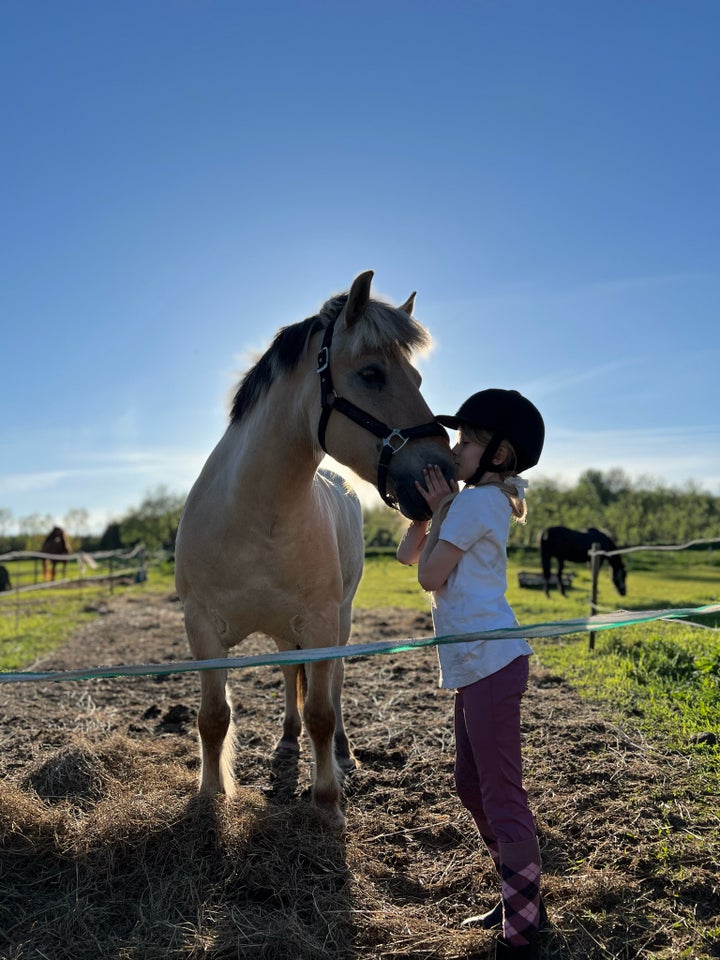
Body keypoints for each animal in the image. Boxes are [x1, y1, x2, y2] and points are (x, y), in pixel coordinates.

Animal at [175, 270, 452, 824]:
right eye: (371, 374)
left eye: (416, 378)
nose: (446, 472)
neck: (255, 518)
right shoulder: (202, 629)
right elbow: (214, 717)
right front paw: (211, 795)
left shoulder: (322, 623)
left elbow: (322, 711)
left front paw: (327, 800)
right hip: (287, 631)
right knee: (289, 675)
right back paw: (286, 741)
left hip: (339, 619)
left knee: (336, 682)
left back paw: (342, 755)